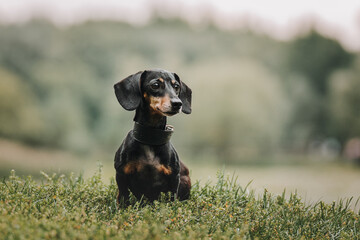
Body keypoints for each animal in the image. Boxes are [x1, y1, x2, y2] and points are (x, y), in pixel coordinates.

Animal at [114, 69, 193, 204]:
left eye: (176, 86)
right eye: (155, 85)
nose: (178, 104)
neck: (150, 138)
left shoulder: (174, 179)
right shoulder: (121, 176)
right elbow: (123, 199)